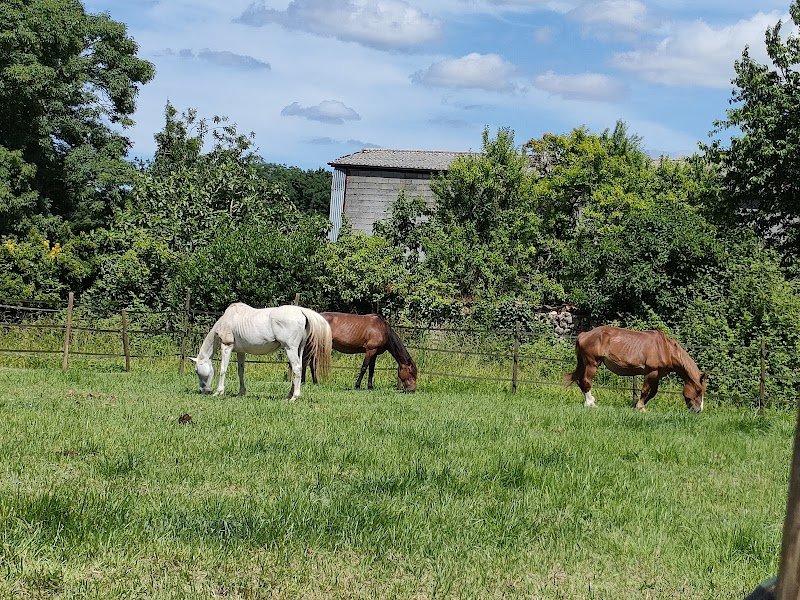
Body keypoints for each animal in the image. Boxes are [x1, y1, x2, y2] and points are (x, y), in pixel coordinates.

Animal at [190, 303, 332, 400]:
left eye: (196, 371)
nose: (203, 390)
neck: (228, 319)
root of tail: (301, 311)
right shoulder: (241, 352)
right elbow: (240, 372)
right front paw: (241, 392)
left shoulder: (226, 346)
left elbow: (223, 370)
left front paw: (218, 392)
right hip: (299, 349)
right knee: (300, 369)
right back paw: (290, 394)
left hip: (290, 348)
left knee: (296, 368)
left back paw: (294, 397)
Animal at [565, 325, 707, 412]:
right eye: (698, 390)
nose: (698, 411)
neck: (665, 349)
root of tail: (583, 335)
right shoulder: (651, 372)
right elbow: (645, 391)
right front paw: (640, 407)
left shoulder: (657, 374)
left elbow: (653, 392)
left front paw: (638, 406)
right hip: (592, 363)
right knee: (586, 382)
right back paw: (591, 404)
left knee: (580, 381)